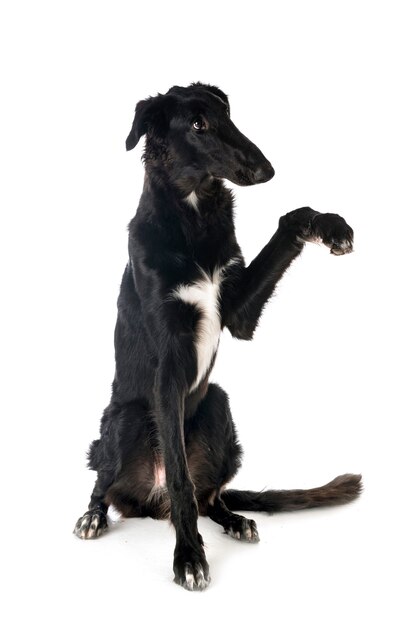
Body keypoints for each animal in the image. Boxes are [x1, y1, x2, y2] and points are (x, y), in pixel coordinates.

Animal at [76, 84, 362, 588]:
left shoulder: (238, 311)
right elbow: (180, 479)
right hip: (126, 417)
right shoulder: (168, 364)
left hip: (218, 404)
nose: (267, 170)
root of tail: (148, 503)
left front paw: (330, 225)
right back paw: (93, 515)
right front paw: (188, 557)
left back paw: (234, 519)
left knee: (212, 496)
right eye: (197, 124)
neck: (193, 213)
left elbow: (291, 218)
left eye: (227, 113)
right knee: (107, 482)